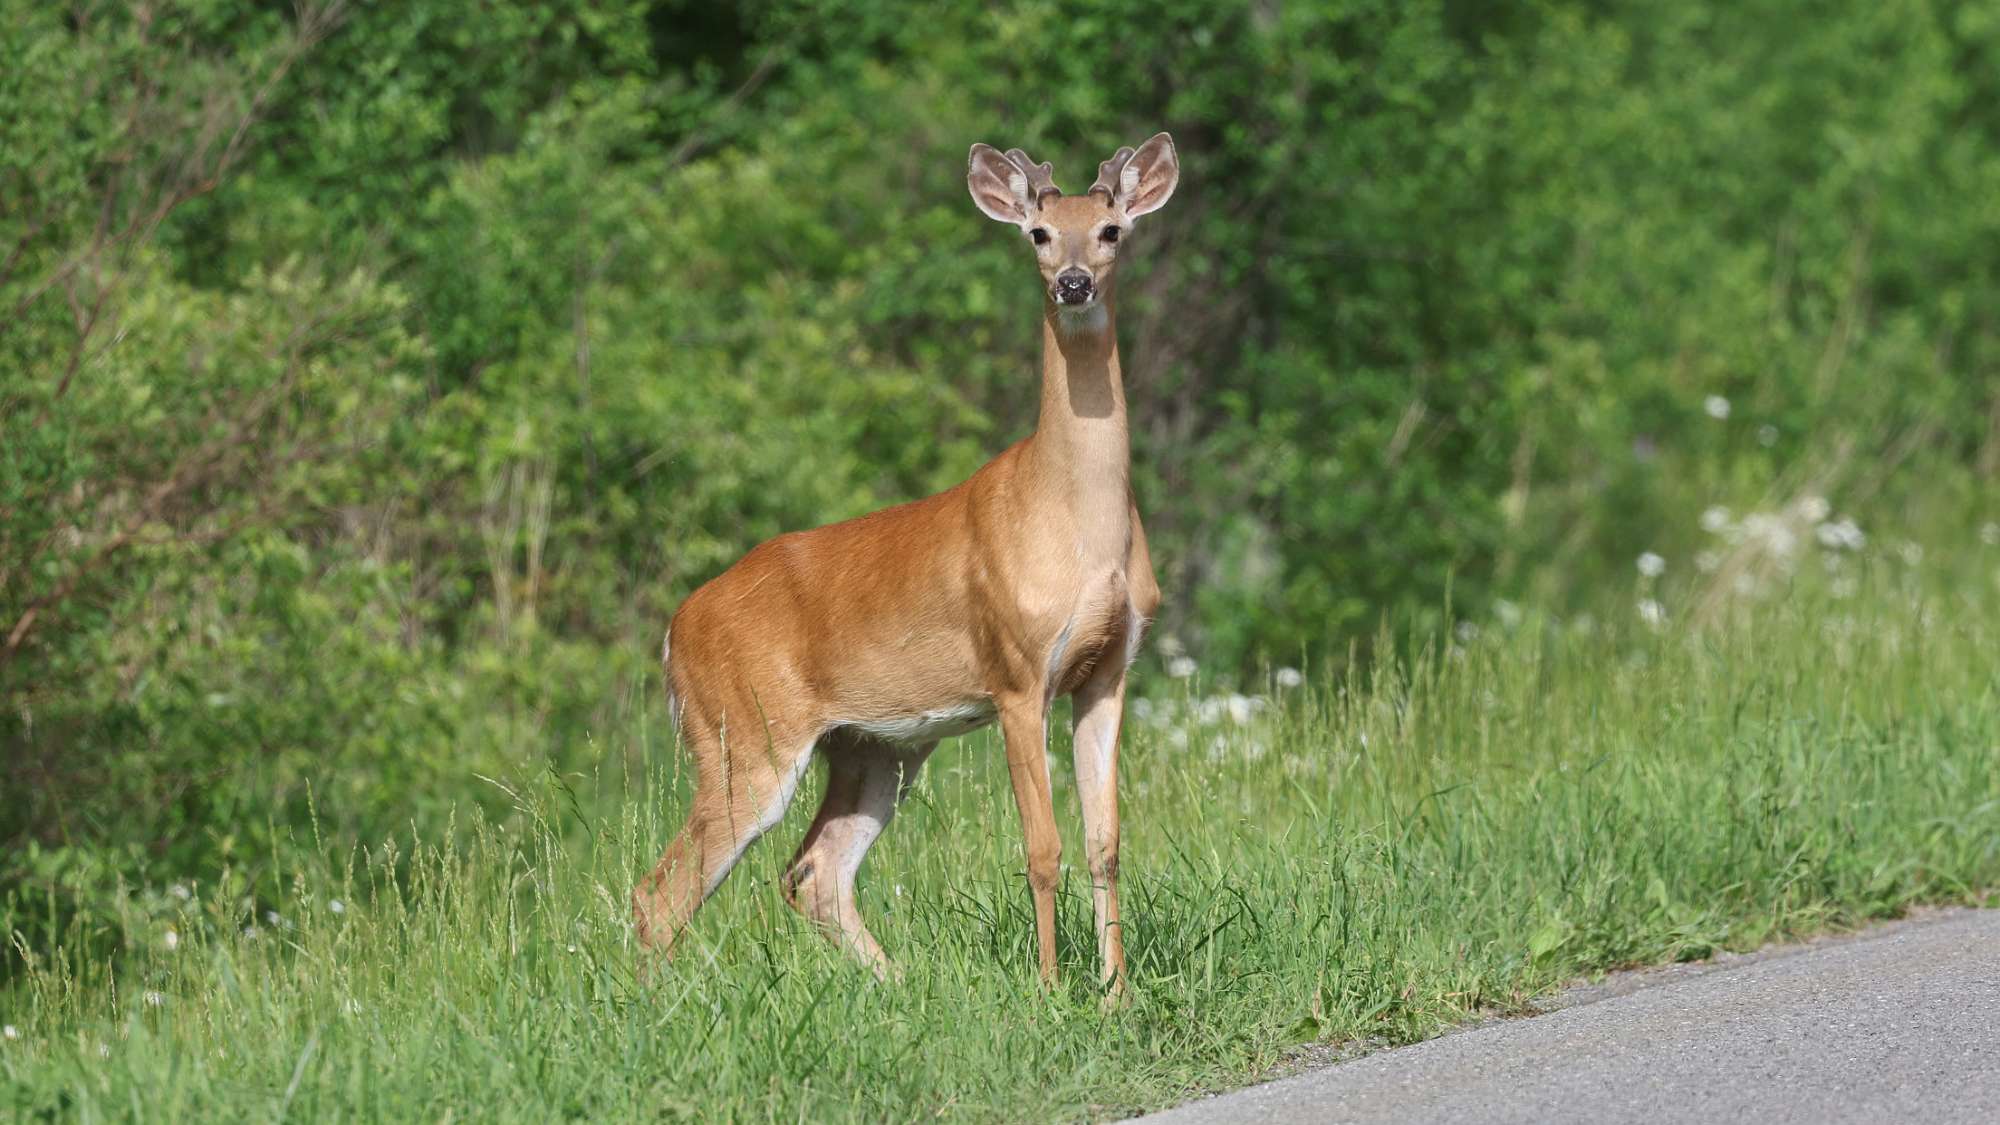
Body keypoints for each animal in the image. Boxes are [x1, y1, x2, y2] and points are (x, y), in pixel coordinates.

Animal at [632, 133, 1181, 998]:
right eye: (1038, 233)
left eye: (1112, 230)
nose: (1073, 282)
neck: (1079, 525)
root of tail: (672, 632)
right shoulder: (1016, 670)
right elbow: (1042, 847)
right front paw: (1052, 988)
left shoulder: (1108, 670)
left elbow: (1106, 843)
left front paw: (1117, 993)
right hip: (740, 733)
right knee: (662, 890)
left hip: (874, 746)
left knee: (812, 870)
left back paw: (896, 986)